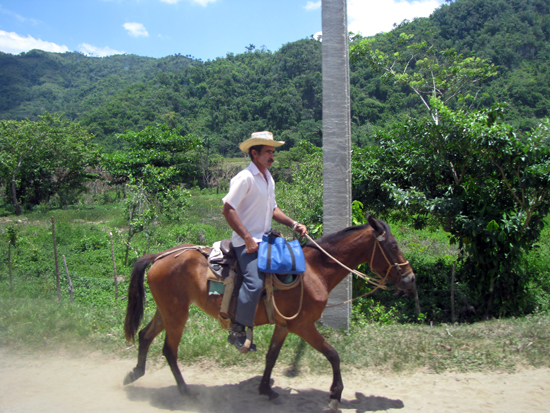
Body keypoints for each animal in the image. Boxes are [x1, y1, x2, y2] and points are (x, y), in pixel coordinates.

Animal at [124, 216, 414, 408]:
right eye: (393, 246)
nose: (410, 279)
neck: (314, 270)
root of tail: (160, 256)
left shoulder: (284, 325)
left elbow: (271, 357)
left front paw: (265, 389)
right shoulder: (303, 325)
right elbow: (333, 354)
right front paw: (336, 393)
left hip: (168, 310)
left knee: (144, 336)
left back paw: (135, 373)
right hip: (177, 313)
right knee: (168, 350)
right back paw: (184, 391)